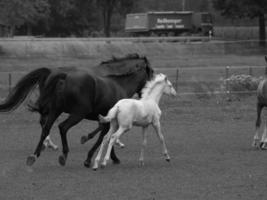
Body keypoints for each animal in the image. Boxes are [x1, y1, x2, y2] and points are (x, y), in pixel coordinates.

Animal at [0, 53, 155, 167]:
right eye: (152, 74)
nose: (147, 95)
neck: (119, 84)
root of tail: (61, 75)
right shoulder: (107, 119)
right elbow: (102, 137)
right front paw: (91, 156)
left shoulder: (107, 119)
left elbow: (105, 136)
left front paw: (112, 155)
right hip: (78, 113)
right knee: (62, 127)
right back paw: (62, 154)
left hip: (55, 110)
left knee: (46, 127)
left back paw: (36, 154)